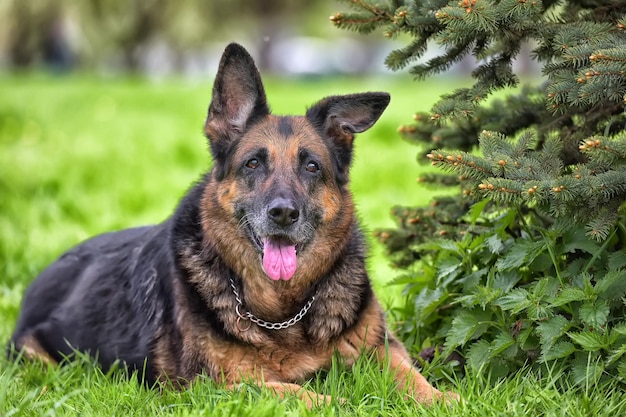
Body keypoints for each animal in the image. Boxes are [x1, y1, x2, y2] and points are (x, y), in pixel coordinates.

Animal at [7, 42, 456, 406]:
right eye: (253, 163)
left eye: (311, 166)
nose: (283, 214)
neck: (283, 310)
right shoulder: (219, 385)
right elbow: (304, 394)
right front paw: (345, 403)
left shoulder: (382, 349)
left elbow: (412, 377)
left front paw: (444, 399)